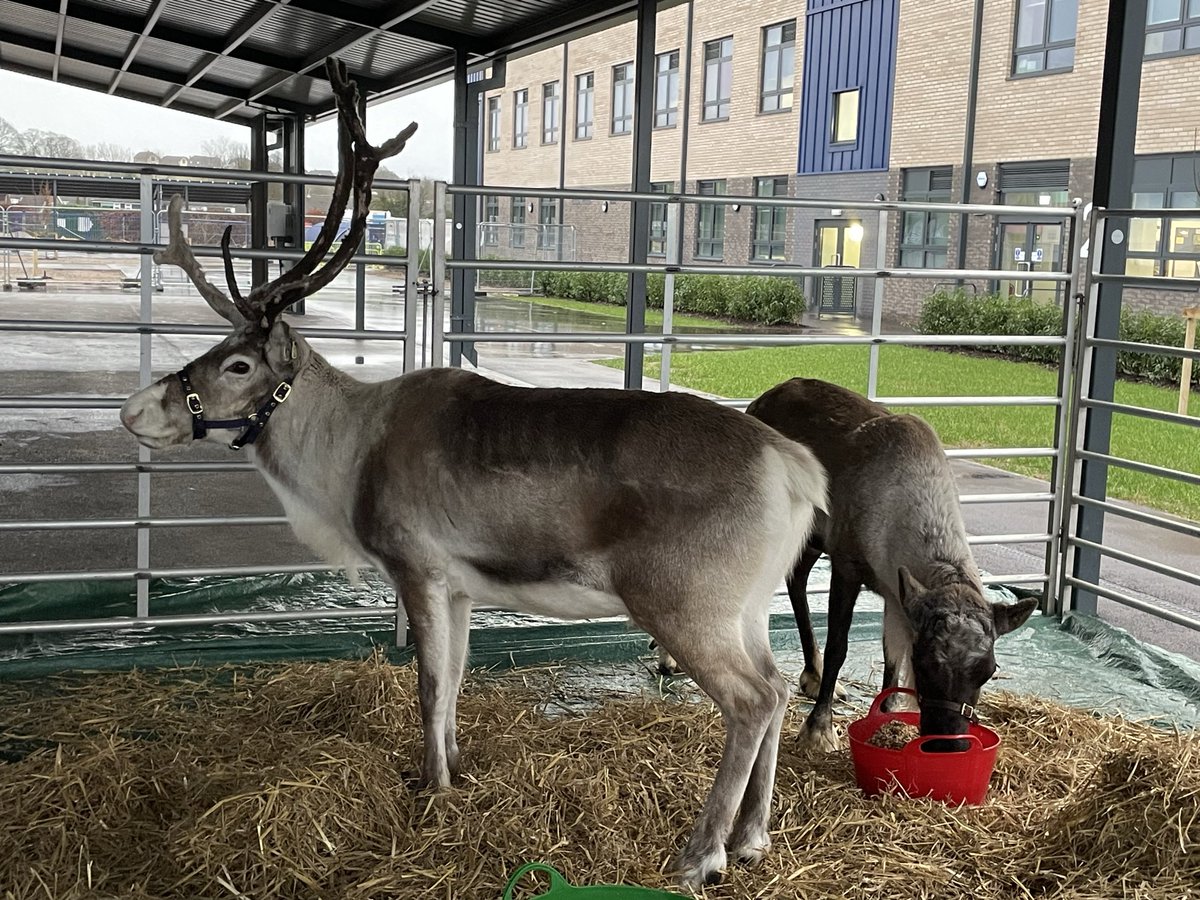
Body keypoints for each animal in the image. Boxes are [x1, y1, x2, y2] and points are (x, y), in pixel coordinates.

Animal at [117, 58, 829, 891]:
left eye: (238, 363)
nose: (136, 409)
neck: (346, 455)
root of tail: (795, 467)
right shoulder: (459, 584)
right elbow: (455, 679)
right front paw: (455, 769)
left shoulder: (416, 564)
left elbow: (428, 684)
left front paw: (433, 789)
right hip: (747, 603)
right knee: (777, 683)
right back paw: (753, 837)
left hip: (686, 600)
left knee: (751, 699)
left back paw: (702, 853)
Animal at [746, 378, 1037, 753]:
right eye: (923, 663)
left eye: (989, 670)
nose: (950, 745)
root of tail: (760, 400)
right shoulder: (847, 564)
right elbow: (839, 646)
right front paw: (819, 728)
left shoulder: (895, 590)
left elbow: (890, 656)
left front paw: (887, 711)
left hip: (810, 537)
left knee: (796, 578)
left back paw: (813, 671)